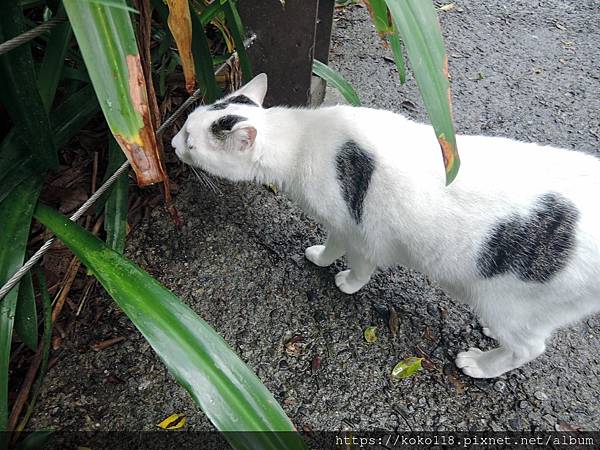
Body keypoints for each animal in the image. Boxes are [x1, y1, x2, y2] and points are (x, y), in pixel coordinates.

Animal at [171, 74, 600, 380]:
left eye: (190, 142)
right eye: (185, 127)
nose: (172, 144)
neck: (303, 140)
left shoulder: (361, 232)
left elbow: (355, 260)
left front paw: (341, 277)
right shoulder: (343, 223)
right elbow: (334, 243)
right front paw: (323, 258)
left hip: (506, 300)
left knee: (529, 349)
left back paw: (481, 365)